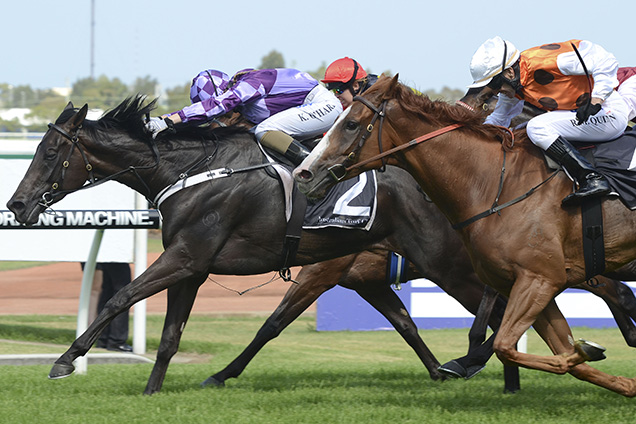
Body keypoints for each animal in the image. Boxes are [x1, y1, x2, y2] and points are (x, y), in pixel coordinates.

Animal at [294, 74, 636, 396]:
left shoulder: (540, 279)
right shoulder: (527, 282)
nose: (303, 174)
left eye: (351, 124)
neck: (494, 184)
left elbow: (506, 345)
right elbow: (554, 353)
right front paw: (620, 379)